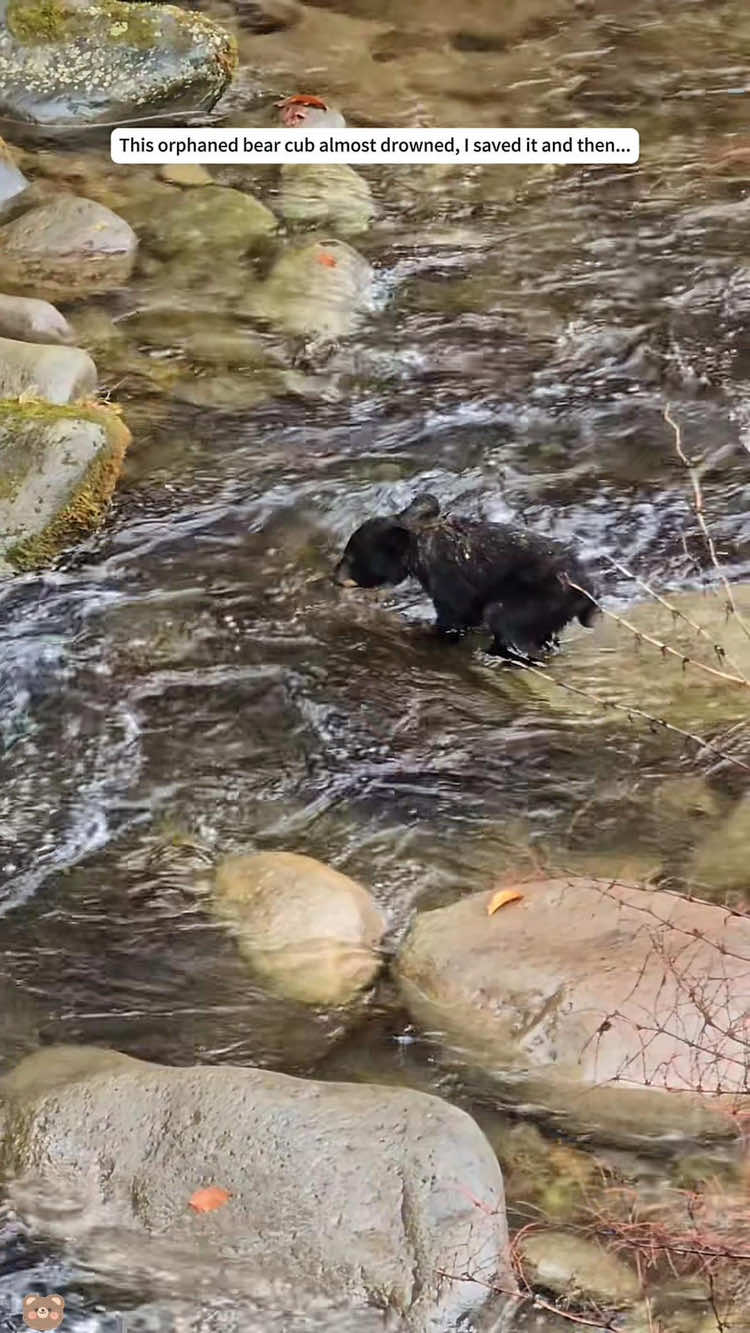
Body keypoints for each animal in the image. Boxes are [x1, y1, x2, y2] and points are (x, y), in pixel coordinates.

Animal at [333, 492, 599, 661]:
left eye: (351, 557)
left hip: (537, 598)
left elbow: (456, 615)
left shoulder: (449, 579)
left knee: (506, 621)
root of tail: (585, 592)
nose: (334, 577)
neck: (420, 546)